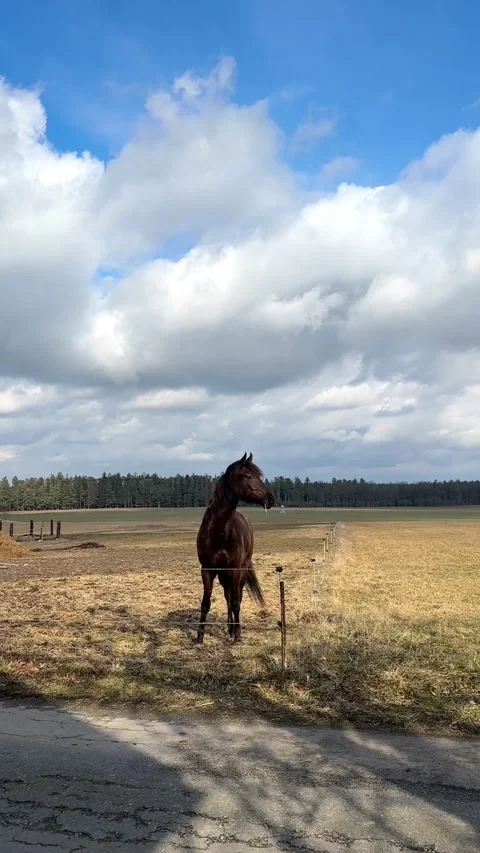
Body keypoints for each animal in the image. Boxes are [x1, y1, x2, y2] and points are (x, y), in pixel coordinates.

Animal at [194, 452, 275, 644]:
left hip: (241, 571)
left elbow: (237, 602)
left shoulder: (236, 570)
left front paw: (238, 635)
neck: (219, 532)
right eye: (247, 476)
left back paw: (233, 631)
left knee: (236, 597)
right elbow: (206, 603)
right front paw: (200, 636)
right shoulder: (207, 570)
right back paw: (229, 630)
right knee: (228, 596)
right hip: (224, 575)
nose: (270, 499)